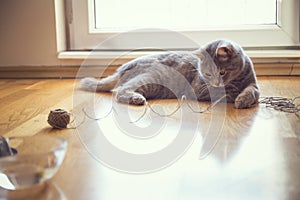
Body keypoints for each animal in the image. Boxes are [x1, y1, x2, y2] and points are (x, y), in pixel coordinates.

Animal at [81, 39, 258, 108]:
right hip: (150, 79)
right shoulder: (200, 89)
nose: (215, 82)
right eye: (207, 74)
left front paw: (243, 98)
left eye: (221, 72)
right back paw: (136, 99)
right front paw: (236, 96)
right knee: (120, 91)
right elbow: (227, 93)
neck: (237, 79)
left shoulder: (253, 83)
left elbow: (253, 91)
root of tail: (121, 68)